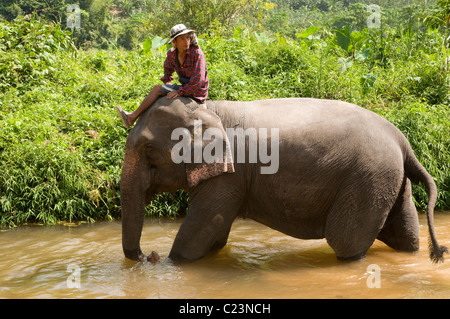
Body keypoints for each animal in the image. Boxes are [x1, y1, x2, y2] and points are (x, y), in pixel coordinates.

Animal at [119, 96, 446, 264]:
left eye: (149, 150)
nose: (148, 255)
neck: (207, 108)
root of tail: (403, 141)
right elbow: (216, 233)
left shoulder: (229, 173)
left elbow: (204, 224)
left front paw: (171, 264)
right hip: (390, 179)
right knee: (405, 234)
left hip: (368, 179)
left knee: (345, 241)